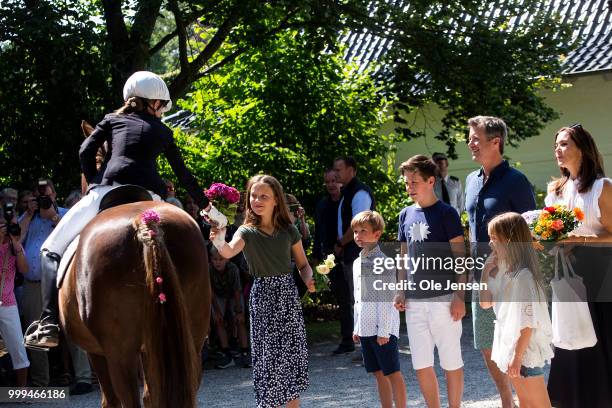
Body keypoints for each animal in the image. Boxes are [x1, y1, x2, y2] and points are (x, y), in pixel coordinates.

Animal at [58, 199, 210, 406]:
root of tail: (143, 219)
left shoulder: (97, 353)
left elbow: (111, 400)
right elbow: (150, 395)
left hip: (120, 355)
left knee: (127, 397)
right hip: (192, 342)